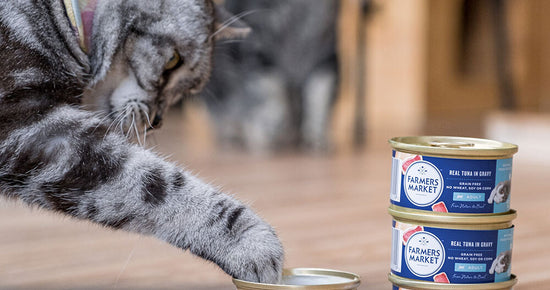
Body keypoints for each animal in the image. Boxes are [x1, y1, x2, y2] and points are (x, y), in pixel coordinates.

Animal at [0, 0, 282, 282]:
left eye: (187, 90)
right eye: (173, 60)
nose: (157, 121)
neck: (63, 18)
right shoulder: (32, 129)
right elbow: (157, 184)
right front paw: (252, 242)